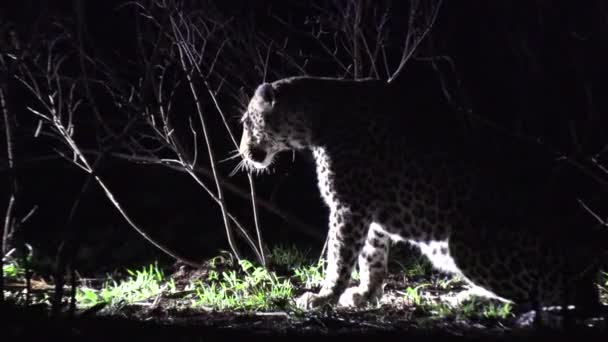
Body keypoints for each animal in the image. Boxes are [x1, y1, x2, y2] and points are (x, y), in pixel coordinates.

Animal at [235, 75, 604, 326]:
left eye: (246, 123)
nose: (242, 151)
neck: (316, 118)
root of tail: (582, 271)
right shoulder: (368, 215)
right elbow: (371, 257)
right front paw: (366, 294)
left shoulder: (348, 207)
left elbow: (339, 258)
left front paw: (324, 296)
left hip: (462, 241)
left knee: (535, 298)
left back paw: (472, 302)